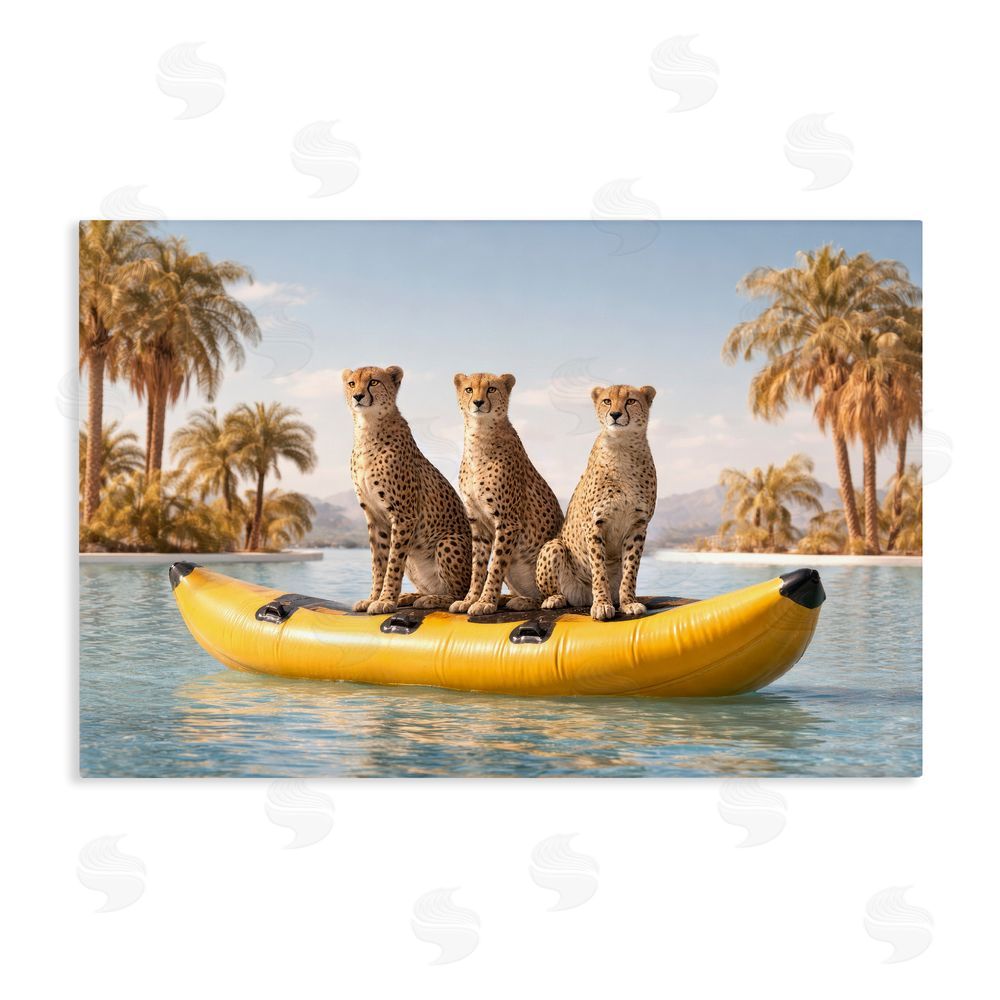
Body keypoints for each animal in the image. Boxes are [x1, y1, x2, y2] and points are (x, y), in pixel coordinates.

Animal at [343, 365, 472, 615]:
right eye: (352, 383)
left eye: (373, 382)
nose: (358, 396)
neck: (367, 429)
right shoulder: (374, 516)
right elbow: (379, 563)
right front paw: (373, 598)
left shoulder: (404, 516)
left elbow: (393, 563)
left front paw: (385, 600)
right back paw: (411, 596)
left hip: (447, 541)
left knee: (458, 594)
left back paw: (431, 599)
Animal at [449, 372, 564, 616]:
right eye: (469, 389)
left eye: (491, 389)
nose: (478, 402)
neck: (479, 436)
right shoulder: (478, 523)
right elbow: (478, 567)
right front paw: (469, 599)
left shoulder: (508, 522)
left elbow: (495, 566)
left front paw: (485, 602)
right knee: (534, 597)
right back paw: (520, 601)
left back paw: (551, 599)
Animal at [535, 383, 658, 621]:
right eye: (607, 401)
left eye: (631, 401)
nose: (615, 414)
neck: (622, 448)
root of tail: (582, 597)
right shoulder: (595, 524)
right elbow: (599, 569)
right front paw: (602, 604)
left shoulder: (638, 526)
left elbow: (630, 570)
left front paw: (629, 602)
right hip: (554, 546)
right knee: (552, 587)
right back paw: (555, 598)